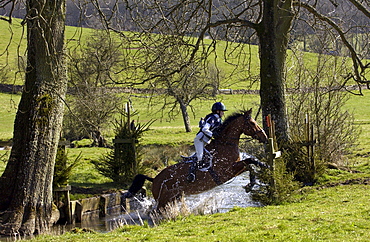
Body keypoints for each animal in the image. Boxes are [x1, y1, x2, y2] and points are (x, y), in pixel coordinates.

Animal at [125, 108, 268, 209]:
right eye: (252, 123)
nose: (265, 138)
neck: (225, 145)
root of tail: (154, 179)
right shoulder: (227, 171)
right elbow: (249, 163)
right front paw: (253, 182)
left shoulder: (235, 168)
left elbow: (250, 162)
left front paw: (263, 169)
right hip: (163, 201)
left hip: (174, 198)